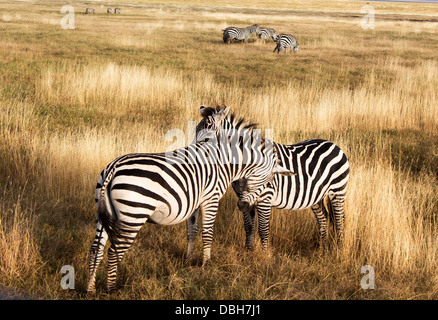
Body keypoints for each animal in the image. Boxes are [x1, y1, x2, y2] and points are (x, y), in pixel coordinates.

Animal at [86, 105, 294, 292]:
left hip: (104, 214)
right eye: (269, 180)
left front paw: (188, 260)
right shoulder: (211, 199)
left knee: (96, 250)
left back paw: (90, 289)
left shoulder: (194, 202)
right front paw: (206, 264)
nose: (243, 205)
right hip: (133, 215)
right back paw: (111, 289)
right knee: (114, 251)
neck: (223, 160)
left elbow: (191, 231)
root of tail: (113, 168)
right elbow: (208, 232)